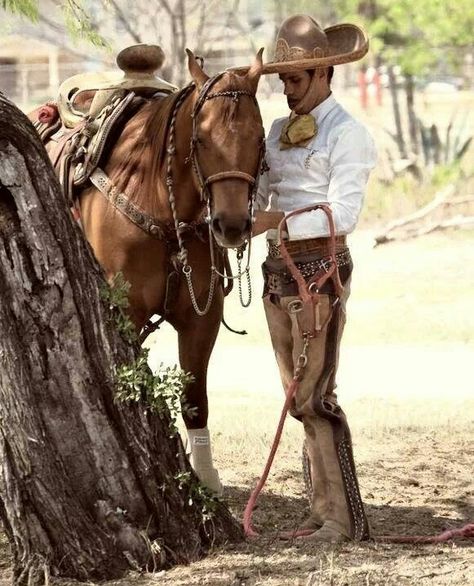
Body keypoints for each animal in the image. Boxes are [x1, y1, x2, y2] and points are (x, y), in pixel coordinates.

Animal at [35, 50, 264, 490]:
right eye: (200, 139)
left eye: (260, 138)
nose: (231, 225)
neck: (153, 191)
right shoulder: (126, 313)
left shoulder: (201, 318)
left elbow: (195, 399)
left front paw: (204, 478)